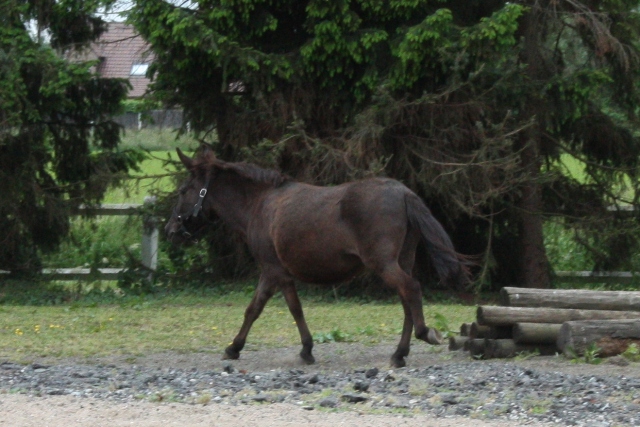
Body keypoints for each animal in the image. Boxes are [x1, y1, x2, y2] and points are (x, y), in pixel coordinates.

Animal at [166, 147, 470, 368]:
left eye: (183, 191)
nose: (171, 230)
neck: (259, 205)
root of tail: (403, 192)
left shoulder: (274, 270)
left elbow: (277, 308)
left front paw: (300, 349)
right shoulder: (275, 273)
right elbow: (269, 308)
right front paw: (239, 347)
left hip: (383, 264)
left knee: (411, 289)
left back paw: (423, 334)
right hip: (401, 261)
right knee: (407, 299)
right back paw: (399, 354)